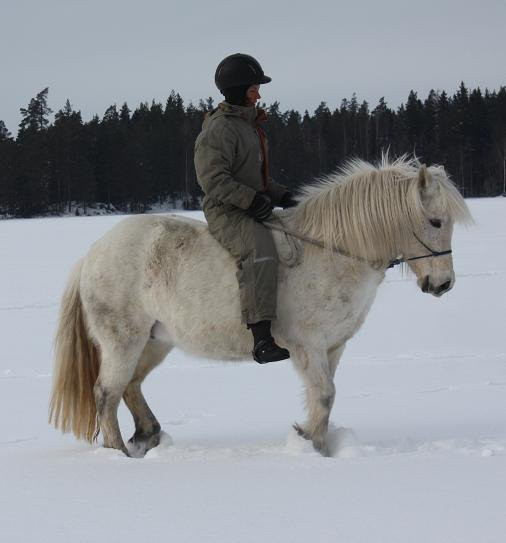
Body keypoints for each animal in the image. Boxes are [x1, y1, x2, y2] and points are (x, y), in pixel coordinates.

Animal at [49, 156, 472, 454]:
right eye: (435, 221)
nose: (443, 284)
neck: (330, 253)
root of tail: (92, 254)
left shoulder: (333, 347)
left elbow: (325, 398)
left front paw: (315, 442)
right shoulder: (307, 346)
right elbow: (324, 394)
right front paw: (311, 446)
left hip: (155, 341)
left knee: (130, 386)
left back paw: (147, 436)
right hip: (123, 341)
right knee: (106, 393)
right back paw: (118, 454)